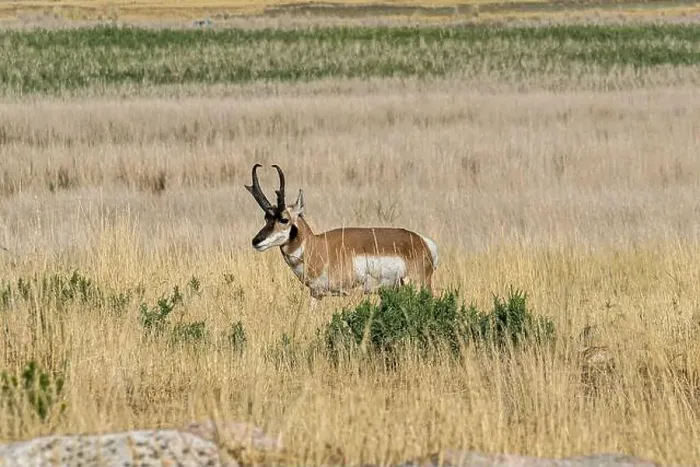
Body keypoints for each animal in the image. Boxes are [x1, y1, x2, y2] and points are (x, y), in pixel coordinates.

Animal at [244, 164, 439, 306]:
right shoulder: (316, 293)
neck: (317, 246)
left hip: (419, 285)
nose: (256, 241)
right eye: (266, 217)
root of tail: (422, 241)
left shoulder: (351, 292)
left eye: (284, 219)